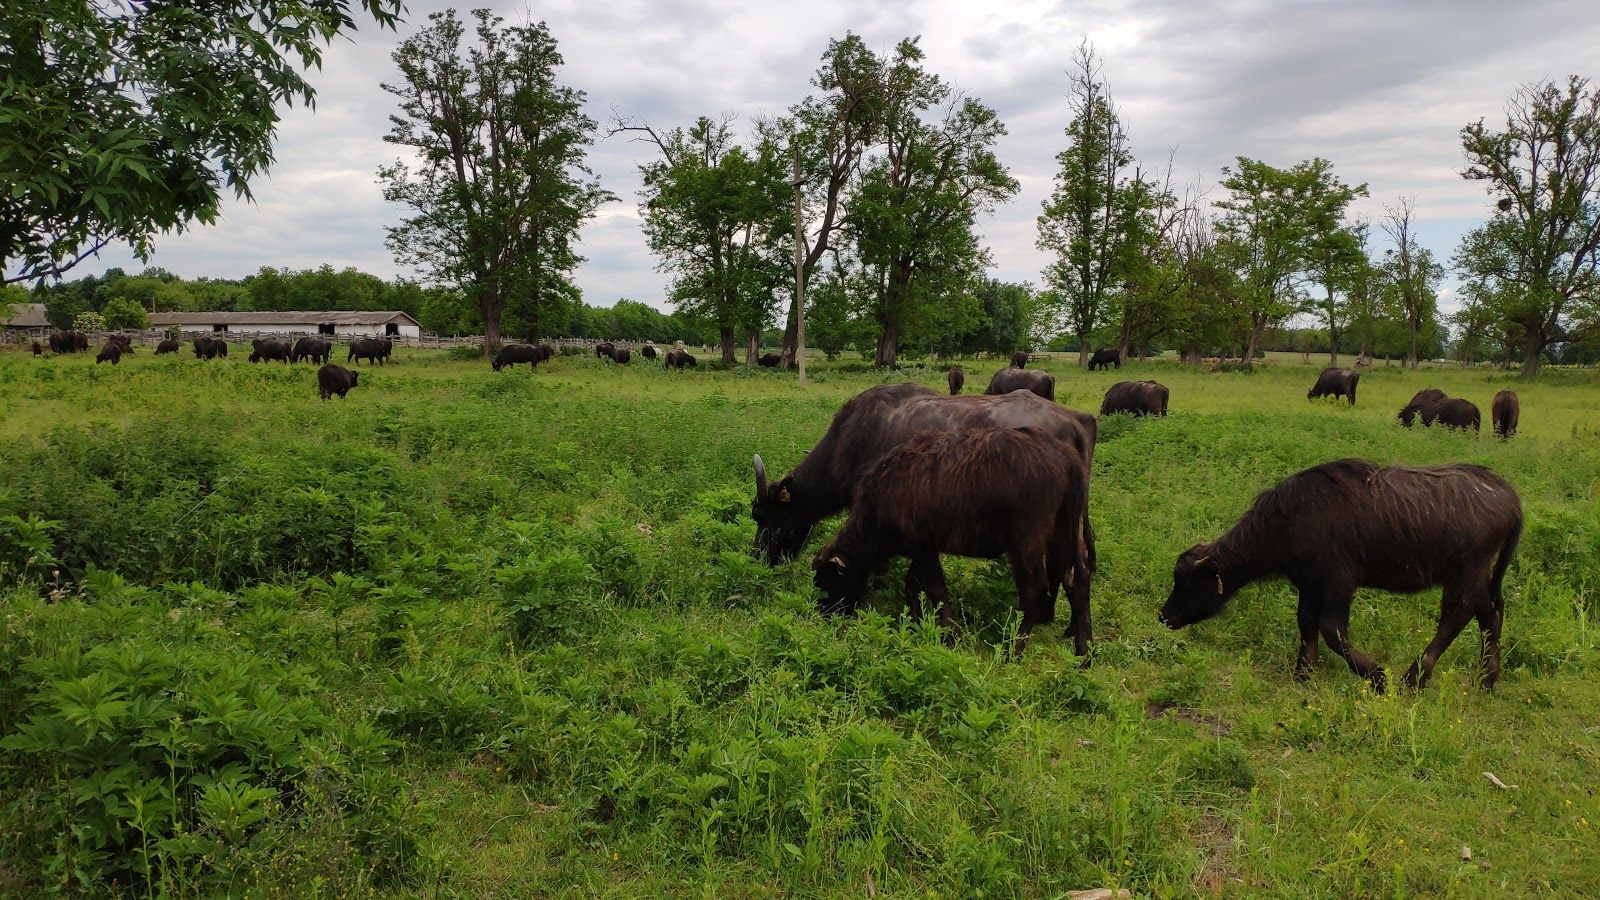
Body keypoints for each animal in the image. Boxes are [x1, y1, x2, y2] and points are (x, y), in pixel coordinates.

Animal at [813, 426, 1092, 656]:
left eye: (828, 580)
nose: (824, 614)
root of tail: (1064, 455)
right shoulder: (923, 552)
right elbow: (913, 587)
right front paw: (917, 624)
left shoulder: (922, 548)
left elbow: (935, 591)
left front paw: (951, 637)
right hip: (1062, 534)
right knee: (1077, 580)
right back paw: (1084, 653)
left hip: (1026, 543)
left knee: (1034, 591)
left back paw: (1012, 650)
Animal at [1160, 459, 1521, 691]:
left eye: (1188, 583)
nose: (1164, 616)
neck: (1288, 520)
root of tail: (1509, 495)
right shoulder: (1308, 585)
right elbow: (1306, 622)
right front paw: (1303, 672)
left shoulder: (1338, 583)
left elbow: (1331, 630)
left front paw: (1377, 675)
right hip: (1477, 574)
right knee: (1490, 614)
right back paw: (1487, 678)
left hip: (1467, 571)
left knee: (1458, 615)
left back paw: (1415, 675)